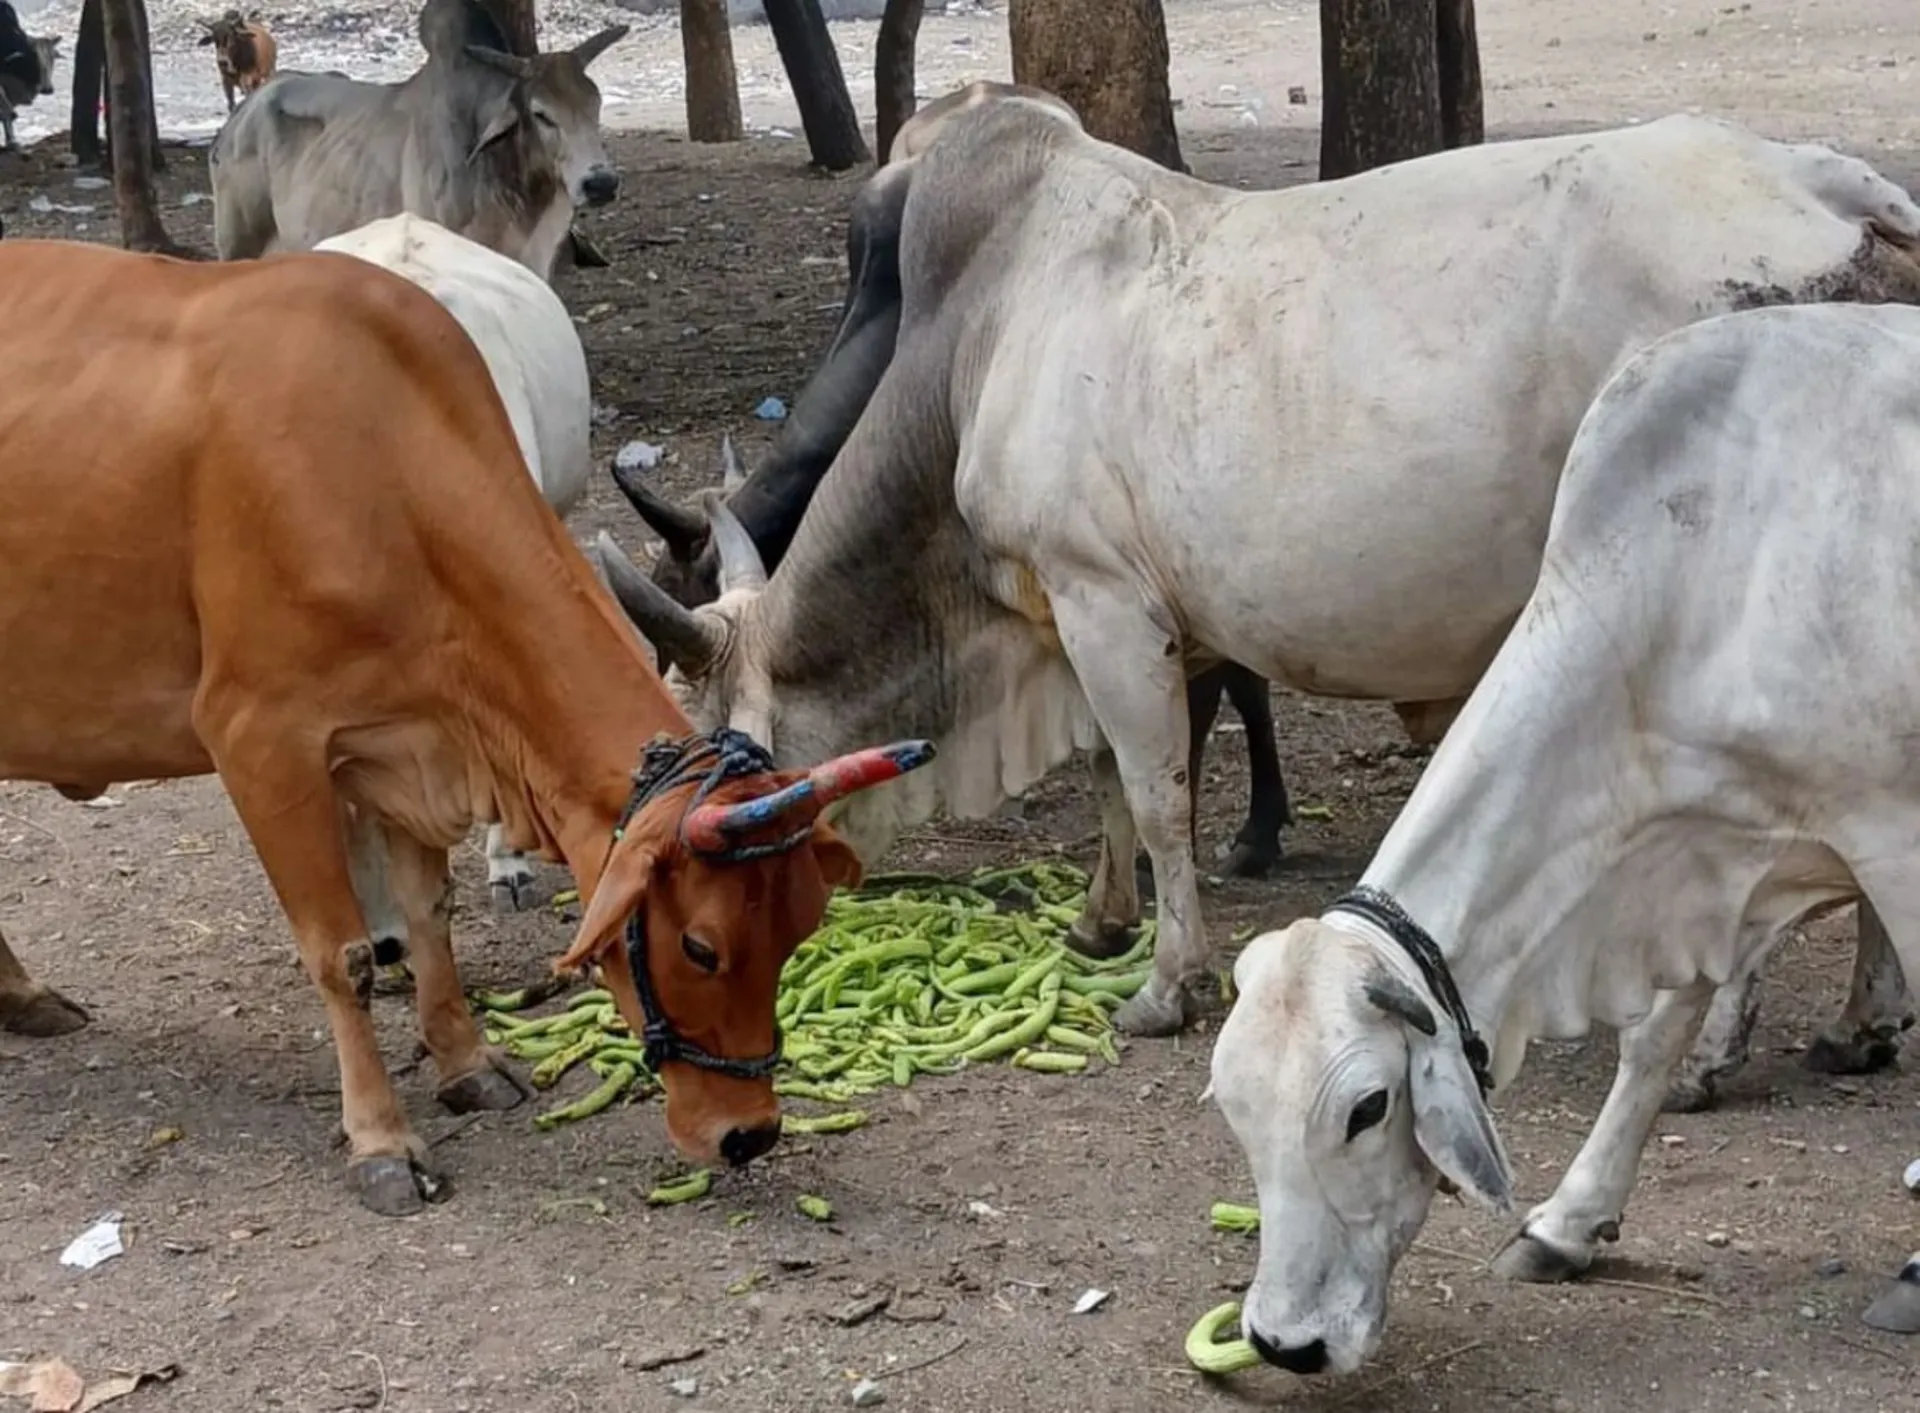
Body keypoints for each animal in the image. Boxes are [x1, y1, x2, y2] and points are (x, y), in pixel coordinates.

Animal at [0, 239, 936, 1213]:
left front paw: (465, 1061)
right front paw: (380, 1137)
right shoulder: (260, 740)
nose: (749, 1133)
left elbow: (429, 912)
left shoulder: (407, 740)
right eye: (700, 946)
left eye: (798, 930)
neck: (383, 466)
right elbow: (341, 953)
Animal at [599, 96, 1920, 1067]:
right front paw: (1102, 921)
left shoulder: (1102, 600)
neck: (973, 342)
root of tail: (1824, 180)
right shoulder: (1111, 617)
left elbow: (1155, 787)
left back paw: (1718, 1049)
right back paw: (1861, 1022)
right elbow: (1116, 780)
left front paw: (1164, 984)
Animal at [1213, 301, 1920, 1382]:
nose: (1284, 1342)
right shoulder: (1704, 852)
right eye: (1233, 1108)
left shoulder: (1891, 832)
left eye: (1369, 1108)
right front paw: (1568, 1223)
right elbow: (1654, 1039)